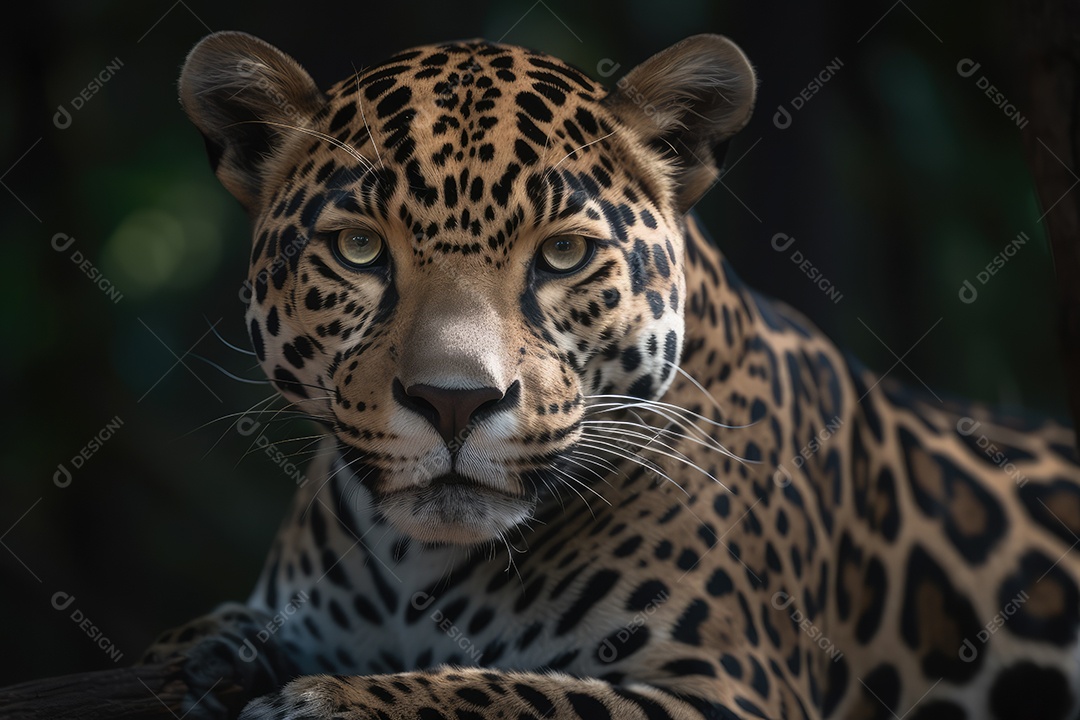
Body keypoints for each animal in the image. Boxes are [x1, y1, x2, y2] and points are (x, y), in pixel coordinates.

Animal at [141, 29, 1080, 720]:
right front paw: (209, 657)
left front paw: (337, 700)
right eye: (360, 249)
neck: (417, 568)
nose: (454, 402)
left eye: (561, 254)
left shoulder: (727, 692)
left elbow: (521, 695)